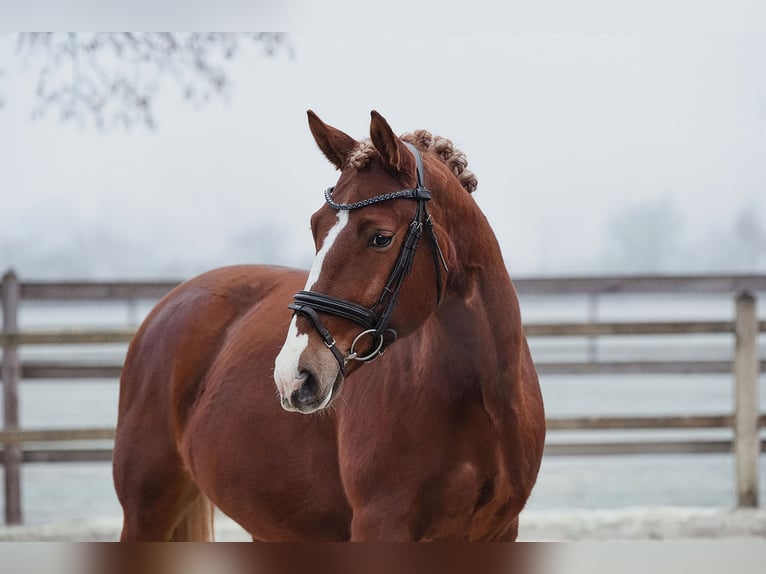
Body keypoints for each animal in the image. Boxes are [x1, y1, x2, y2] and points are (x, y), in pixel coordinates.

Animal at [113, 110, 545, 541]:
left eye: (381, 238)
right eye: (315, 226)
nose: (293, 375)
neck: (482, 399)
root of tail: (171, 303)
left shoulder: (499, 532)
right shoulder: (380, 528)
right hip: (146, 513)